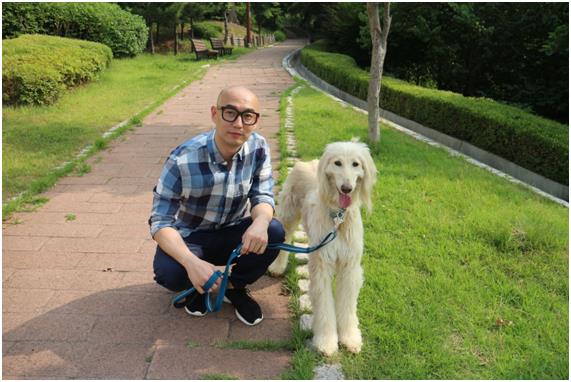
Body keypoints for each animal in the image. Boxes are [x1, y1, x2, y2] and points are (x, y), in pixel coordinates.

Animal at [270, 140, 378, 356]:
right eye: (337, 163)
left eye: (356, 164)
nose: (346, 188)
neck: (338, 216)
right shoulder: (322, 263)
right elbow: (324, 305)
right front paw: (326, 342)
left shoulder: (350, 265)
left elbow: (348, 304)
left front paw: (349, 337)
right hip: (288, 211)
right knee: (284, 237)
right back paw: (277, 266)